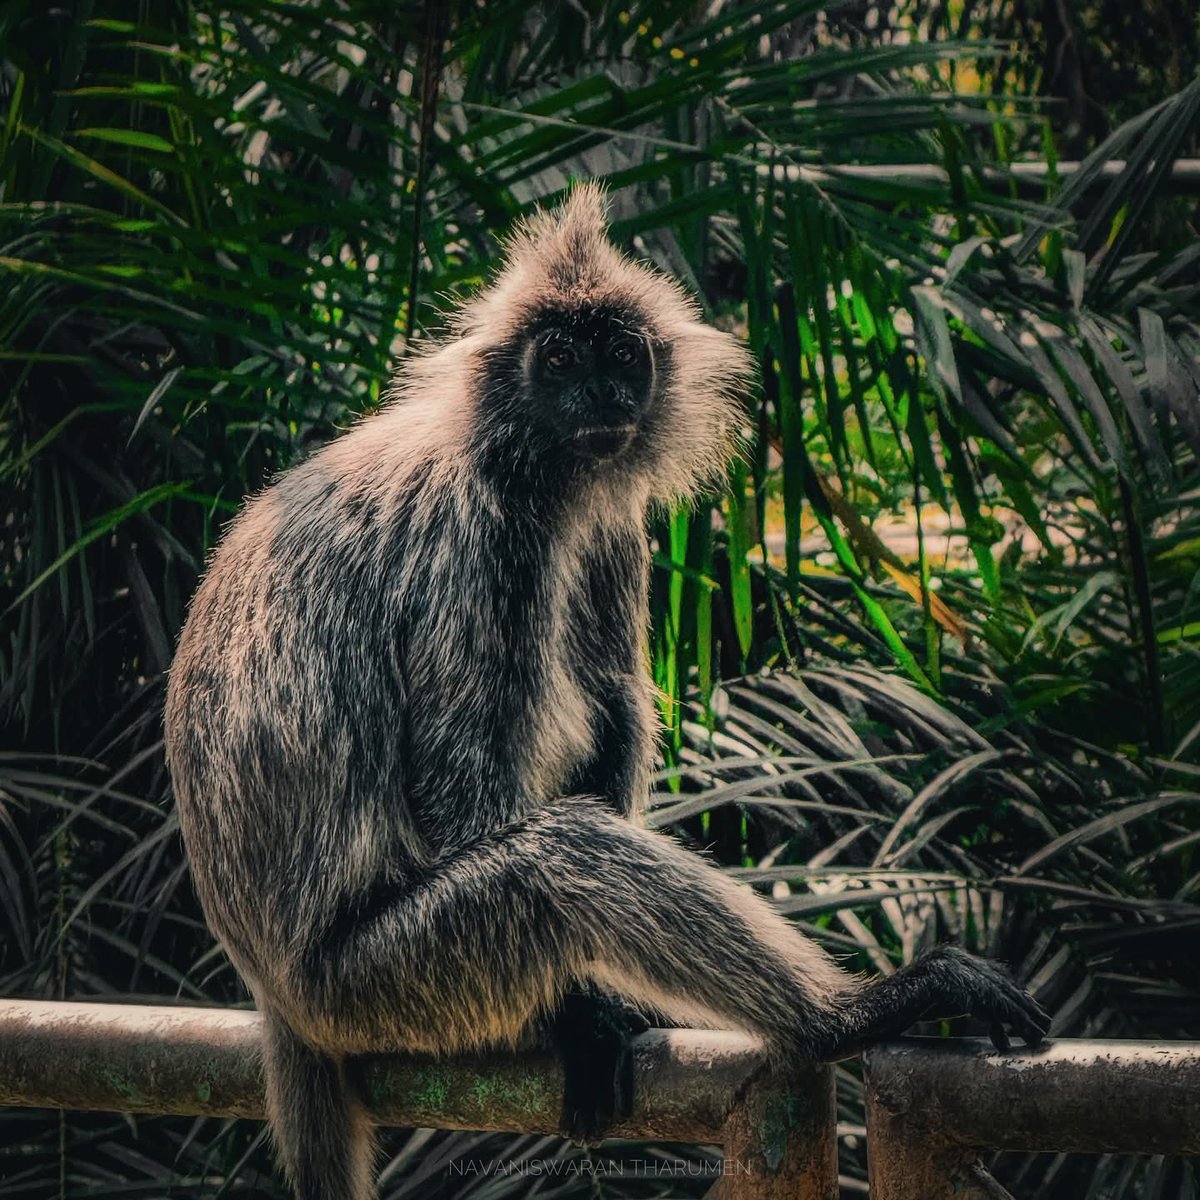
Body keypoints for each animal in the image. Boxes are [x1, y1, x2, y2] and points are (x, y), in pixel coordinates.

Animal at [164, 183, 1049, 1200]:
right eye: (561, 359)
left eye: (621, 355)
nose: (604, 396)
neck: (529, 463)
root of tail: (275, 994)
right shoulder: (481, 536)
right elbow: (464, 797)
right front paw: (584, 1014)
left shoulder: (607, 520)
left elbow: (620, 697)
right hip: (379, 982)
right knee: (563, 858)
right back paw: (846, 1016)